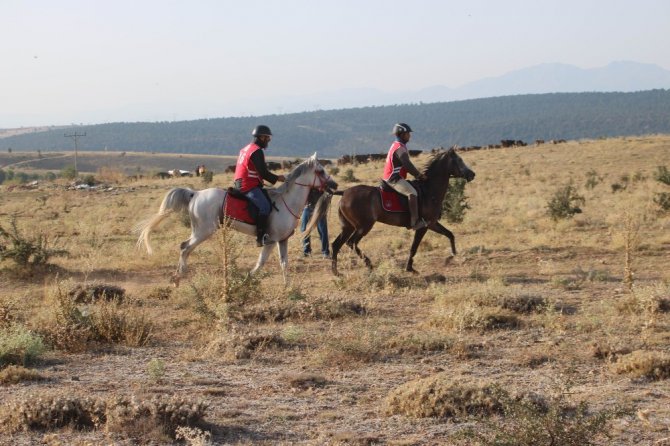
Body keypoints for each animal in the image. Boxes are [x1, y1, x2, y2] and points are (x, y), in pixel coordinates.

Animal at [137, 153, 336, 286]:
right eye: (320, 171)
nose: (334, 185)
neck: (286, 200)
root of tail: (195, 194)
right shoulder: (271, 240)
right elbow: (261, 262)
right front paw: (246, 279)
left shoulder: (282, 240)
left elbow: (283, 263)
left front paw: (288, 286)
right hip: (204, 231)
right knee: (185, 248)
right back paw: (178, 278)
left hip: (199, 230)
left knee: (184, 246)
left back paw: (177, 276)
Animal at [328, 148, 476, 276]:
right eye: (459, 160)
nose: (472, 174)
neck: (429, 190)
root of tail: (344, 193)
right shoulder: (423, 226)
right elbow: (414, 247)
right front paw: (409, 268)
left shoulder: (432, 224)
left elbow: (450, 235)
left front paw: (451, 256)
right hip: (363, 226)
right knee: (351, 243)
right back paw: (368, 264)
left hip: (348, 227)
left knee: (336, 244)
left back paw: (336, 272)